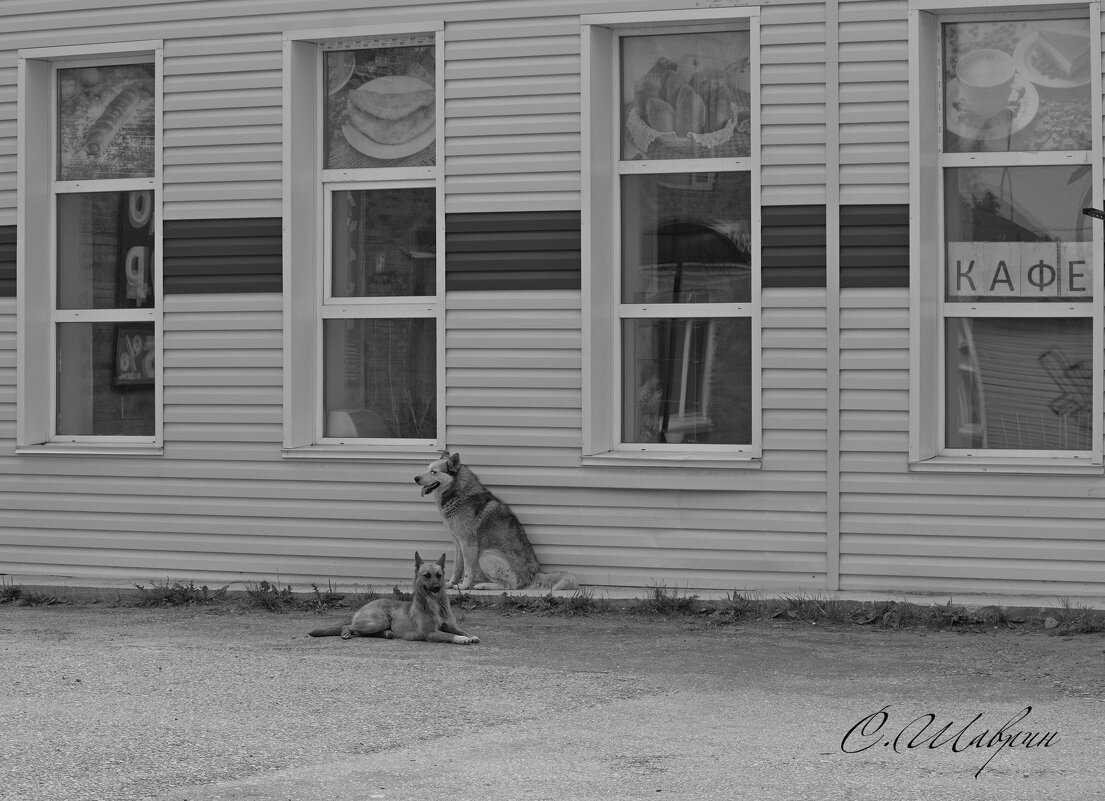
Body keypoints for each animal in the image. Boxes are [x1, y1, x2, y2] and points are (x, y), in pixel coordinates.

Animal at [304, 550, 477, 645]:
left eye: (439, 575)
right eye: (427, 576)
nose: (436, 588)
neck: (434, 604)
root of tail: (361, 609)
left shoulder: (451, 626)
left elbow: (462, 630)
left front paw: (470, 635)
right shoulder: (431, 633)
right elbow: (450, 635)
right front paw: (461, 639)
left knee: (360, 631)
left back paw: (386, 634)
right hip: (378, 621)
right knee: (350, 627)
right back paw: (346, 632)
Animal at [413, 452, 579, 592]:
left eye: (434, 472)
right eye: (427, 469)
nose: (415, 478)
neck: (458, 494)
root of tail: (536, 573)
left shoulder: (468, 544)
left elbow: (467, 570)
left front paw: (464, 586)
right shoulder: (458, 543)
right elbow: (456, 567)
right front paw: (450, 583)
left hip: (485, 556)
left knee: (510, 585)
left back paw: (482, 585)